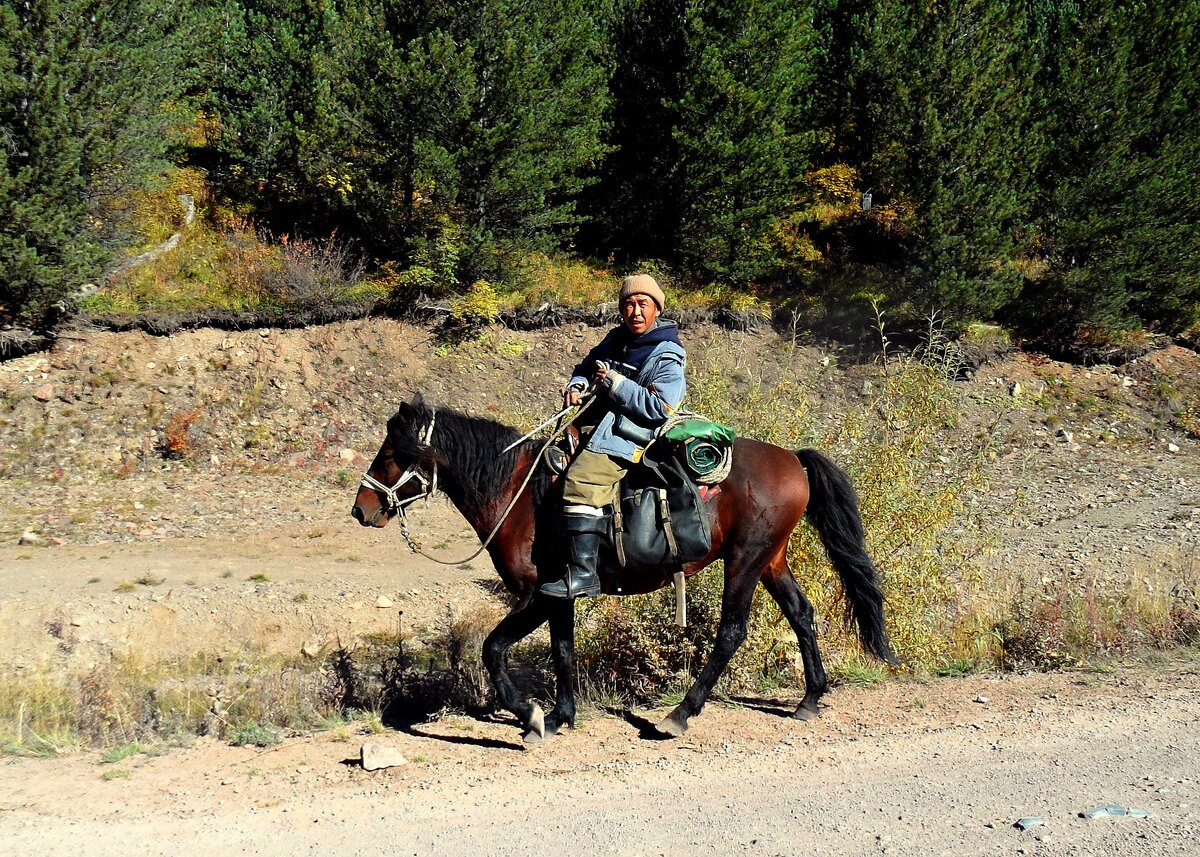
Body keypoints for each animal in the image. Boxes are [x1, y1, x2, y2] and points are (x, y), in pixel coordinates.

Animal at [350, 396, 897, 739]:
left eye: (392, 452)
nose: (360, 509)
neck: (517, 493)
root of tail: (793, 460)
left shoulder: (535, 594)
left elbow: (493, 649)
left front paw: (530, 716)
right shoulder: (561, 594)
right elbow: (563, 652)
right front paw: (561, 715)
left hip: (745, 560)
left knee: (731, 632)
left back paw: (680, 714)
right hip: (770, 559)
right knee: (802, 615)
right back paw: (810, 699)